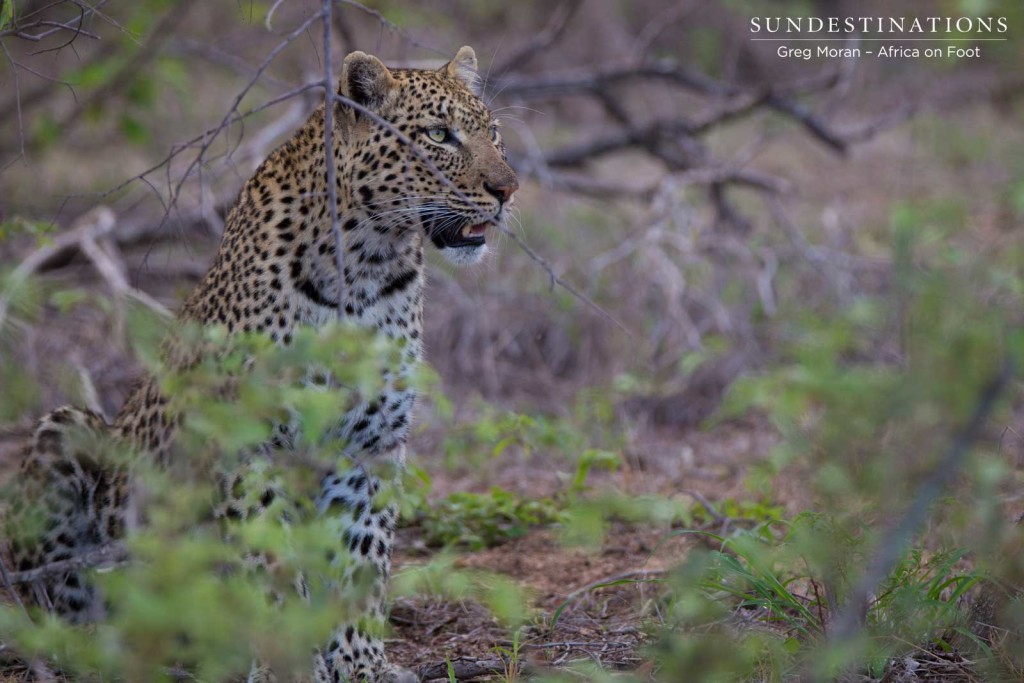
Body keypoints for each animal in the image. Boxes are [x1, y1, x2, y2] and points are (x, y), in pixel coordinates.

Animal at [4, 45, 520, 679]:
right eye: (439, 135)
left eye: (492, 132)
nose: (508, 189)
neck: (368, 267)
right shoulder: (248, 445)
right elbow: (270, 562)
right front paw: (287, 665)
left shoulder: (372, 446)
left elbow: (361, 561)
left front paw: (362, 664)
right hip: (67, 430)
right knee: (57, 601)